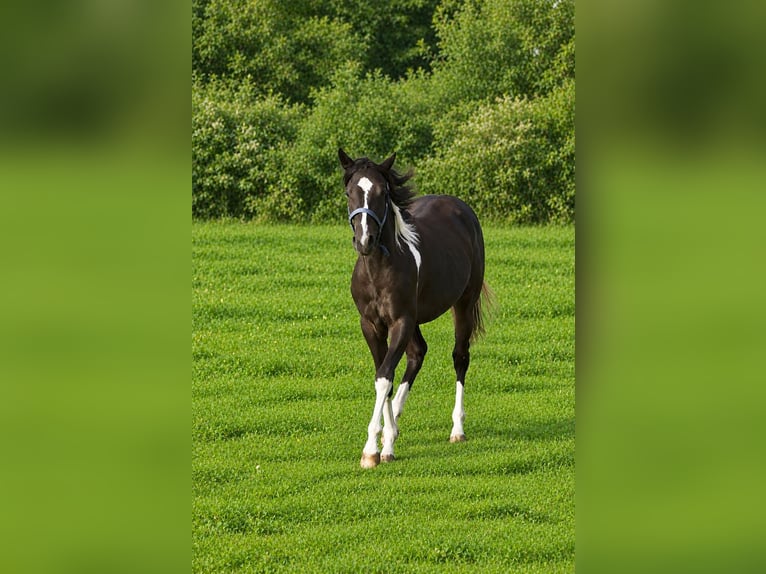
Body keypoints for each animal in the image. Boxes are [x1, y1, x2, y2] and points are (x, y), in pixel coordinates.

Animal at [339, 148, 491, 468]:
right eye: (350, 192)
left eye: (382, 192)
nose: (365, 241)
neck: (379, 269)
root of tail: (461, 208)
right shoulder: (370, 325)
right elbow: (384, 374)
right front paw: (386, 441)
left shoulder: (401, 321)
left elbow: (384, 377)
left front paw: (371, 450)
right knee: (417, 353)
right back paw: (395, 423)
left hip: (464, 302)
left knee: (460, 357)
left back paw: (457, 429)